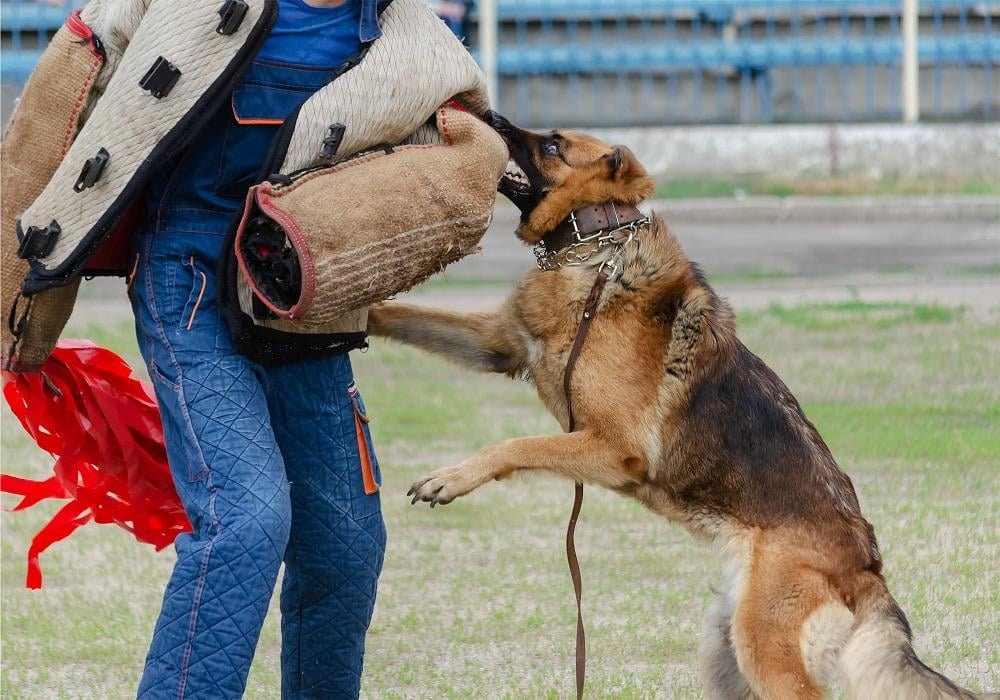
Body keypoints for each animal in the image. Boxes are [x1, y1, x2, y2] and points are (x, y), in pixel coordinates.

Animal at [366, 112, 992, 696]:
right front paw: (357, 314)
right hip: (726, 652)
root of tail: (867, 567)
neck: (596, 255)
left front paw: (449, 478)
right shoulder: (500, 345)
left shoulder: (611, 448)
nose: (490, 117)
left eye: (554, 144)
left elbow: (515, 443)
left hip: (764, 651)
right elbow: (407, 316)